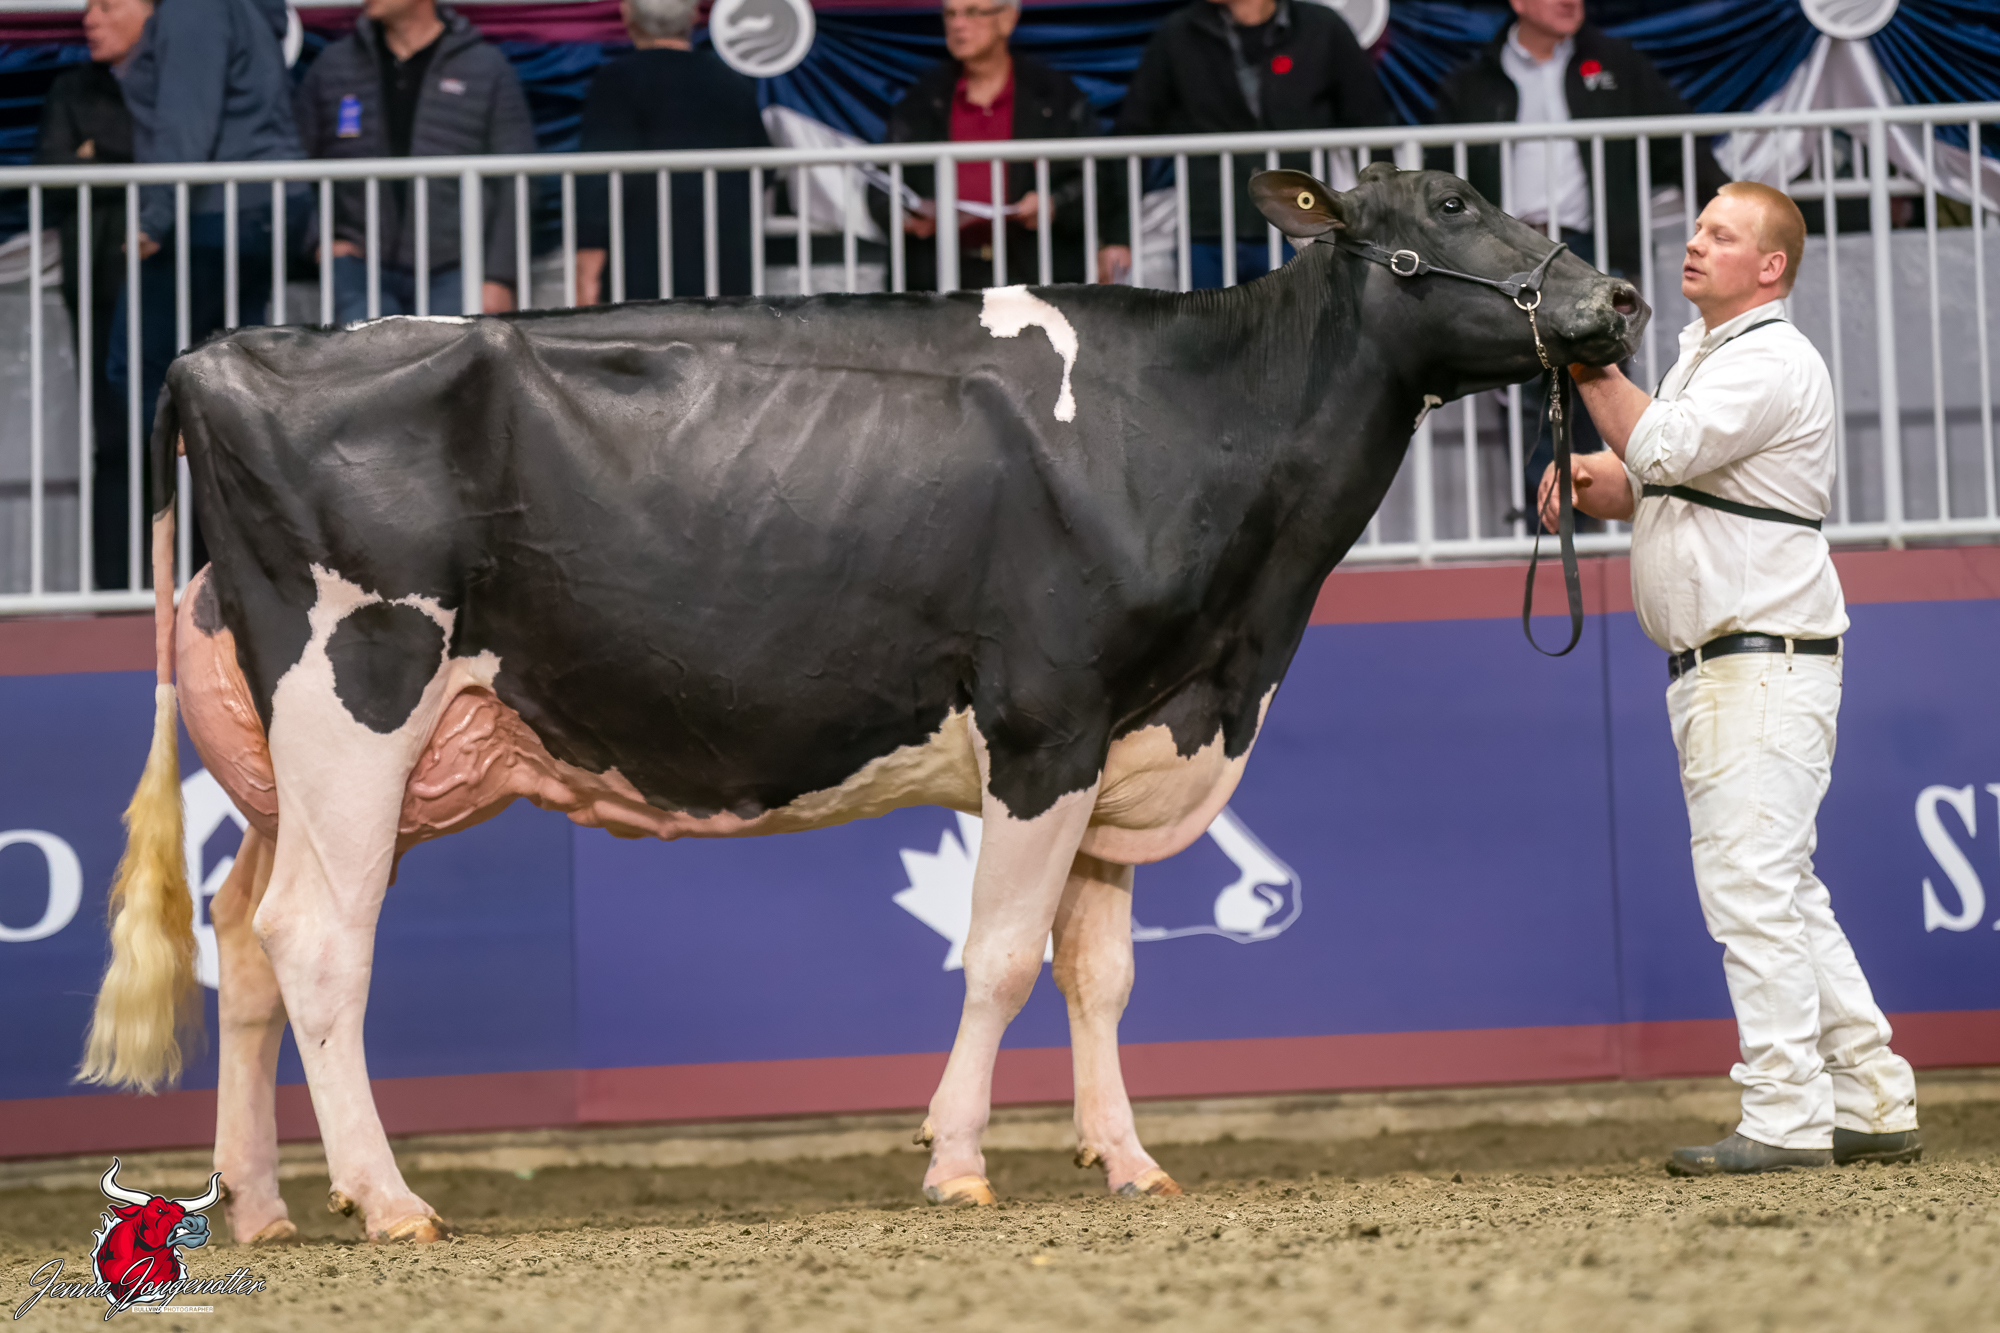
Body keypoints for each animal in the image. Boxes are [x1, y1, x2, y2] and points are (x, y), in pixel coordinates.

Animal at [78, 165, 1644, 1244]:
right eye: (1447, 202)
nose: (1618, 300)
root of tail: (221, 350)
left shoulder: (1129, 725)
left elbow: (1103, 973)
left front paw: (1129, 1159)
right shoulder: (1046, 718)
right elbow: (1002, 957)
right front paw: (956, 1162)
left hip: (298, 755)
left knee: (245, 937)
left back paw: (263, 1202)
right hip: (359, 693)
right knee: (316, 939)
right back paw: (387, 1197)